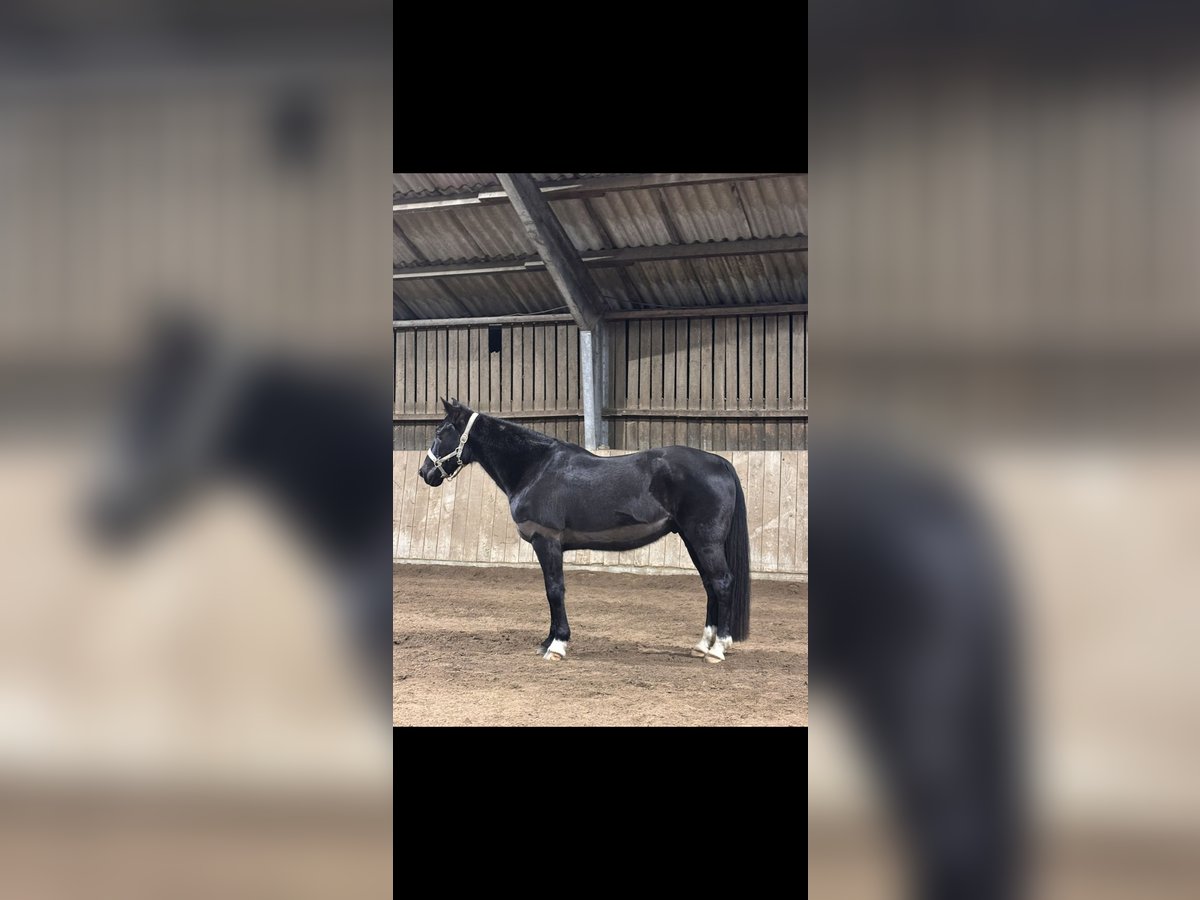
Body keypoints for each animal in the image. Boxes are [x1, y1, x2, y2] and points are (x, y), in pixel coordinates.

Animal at [417, 398, 751, 663]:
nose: (424, 472)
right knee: (709, 584)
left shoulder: (546, 542)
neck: (535, 468)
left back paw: (718, 649)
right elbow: (551, 591)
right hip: (692, 540)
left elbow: (554, 590)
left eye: (440, 433)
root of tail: (720, 463)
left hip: (704, 540)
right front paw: (546, 641)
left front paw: (557, 645)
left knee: (722, 582)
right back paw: (702, 645)